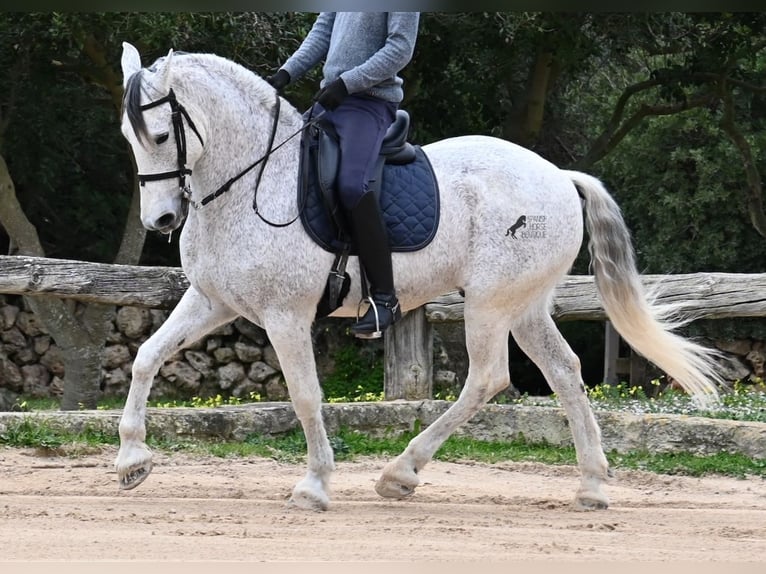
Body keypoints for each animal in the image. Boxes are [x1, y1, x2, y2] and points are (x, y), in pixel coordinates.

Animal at [115, 42, 728, 516]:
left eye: (162, 135)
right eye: (128, 135)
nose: (161, 220)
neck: (252, 181)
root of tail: (557, 174)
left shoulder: (284, 315)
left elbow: (306, 395)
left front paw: (314, 486)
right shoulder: (212, 300)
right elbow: (146, 355)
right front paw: (131, 461)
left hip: (489, 303)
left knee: (488, 378)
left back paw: (400, 472)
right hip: (525, 305)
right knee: (565, 372)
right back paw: (592, 487)